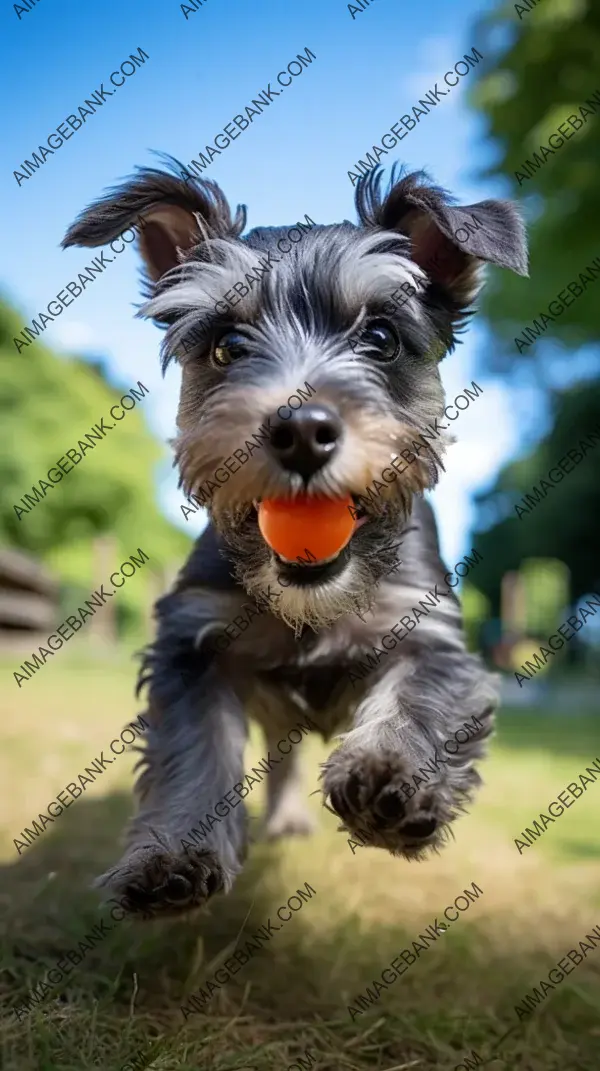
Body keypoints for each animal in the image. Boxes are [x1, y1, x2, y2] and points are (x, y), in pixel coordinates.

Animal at [63, 158, 527, 921]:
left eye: (381, 338)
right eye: (226, 345)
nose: (301, 428)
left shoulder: (430, 630)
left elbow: (420, 696)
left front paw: (391, 778)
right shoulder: (191, 641)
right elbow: (196, 748)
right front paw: (173, 854)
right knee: (281, 757)